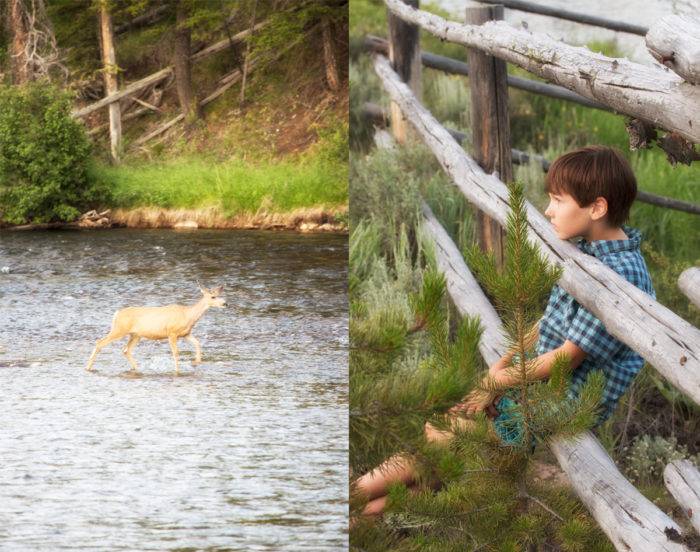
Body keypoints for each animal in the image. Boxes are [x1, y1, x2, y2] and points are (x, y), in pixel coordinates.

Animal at [84, 284, 227, 376]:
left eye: (219, 294)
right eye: (213, 297)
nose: (225, 303)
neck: (187, 315)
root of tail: (117, 313)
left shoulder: (186, 334)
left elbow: (197, 343)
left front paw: (197, 362)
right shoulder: (171, 333)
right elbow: (176, 352)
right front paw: (177, 371)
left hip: (135, 335)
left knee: (126, 350)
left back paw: (137, 369)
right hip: (119, 329)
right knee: (100, 342)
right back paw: (87, 368)